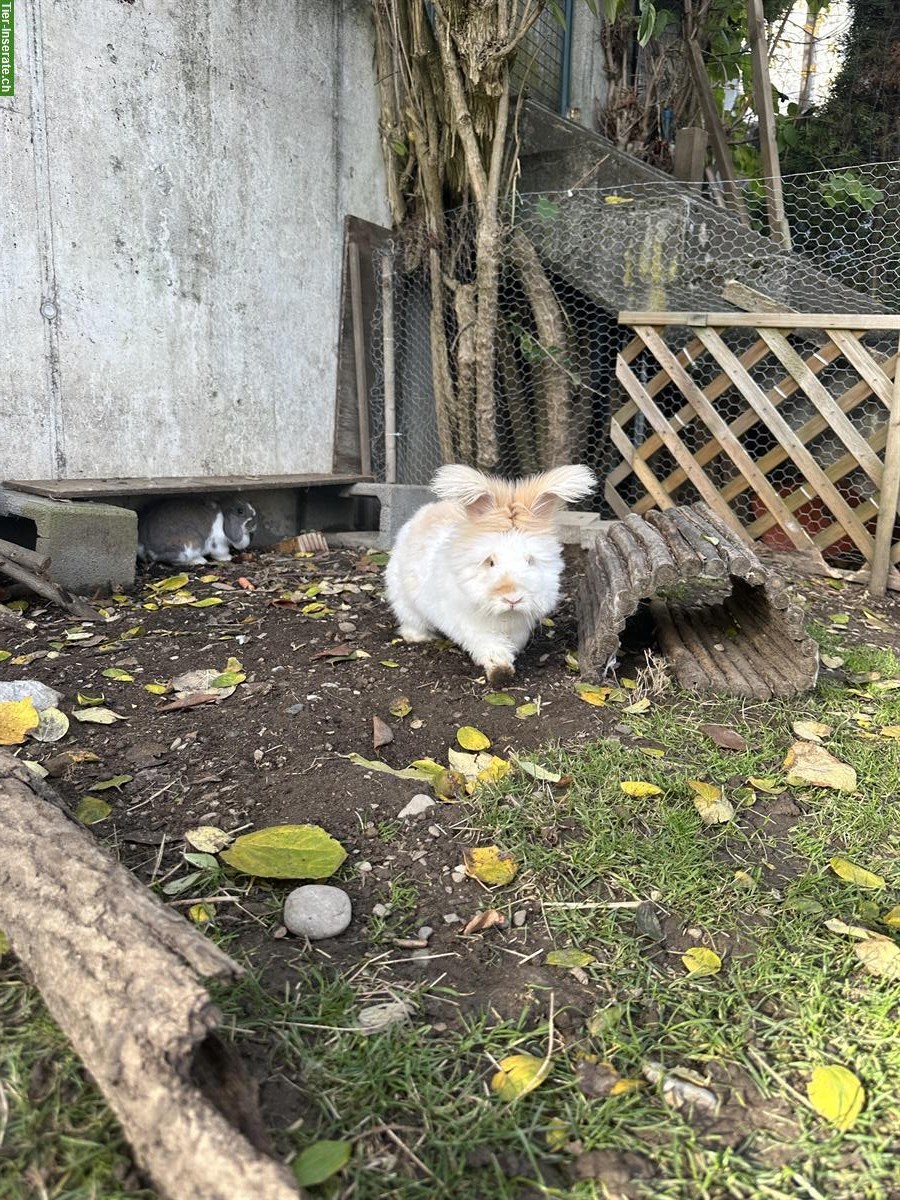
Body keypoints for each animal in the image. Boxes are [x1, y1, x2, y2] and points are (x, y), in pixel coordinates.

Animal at [385, 463, 596, 685]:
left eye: (530, 561)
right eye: (491, 562)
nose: (513, 598)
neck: (505, 615)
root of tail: (425, 512)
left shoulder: (519, 628)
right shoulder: (473, 627)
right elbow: (491, 647)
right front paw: (500, 671)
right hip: (403, 599)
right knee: (411, 620)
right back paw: (418, 637)